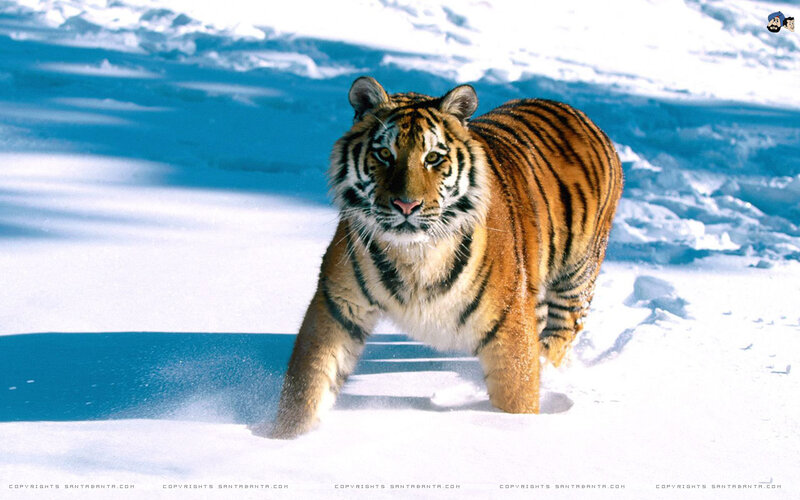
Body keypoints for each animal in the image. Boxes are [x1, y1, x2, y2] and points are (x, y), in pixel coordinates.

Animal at [270, 76, 623, 439]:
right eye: (384, 154)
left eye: (433, 157)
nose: (406, 205)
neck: (414, 254)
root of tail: (577, 112)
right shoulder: (338, 304)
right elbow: (308, 384)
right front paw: (281, 437)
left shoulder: (508, 323)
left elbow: (517, 394)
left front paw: (516, 427)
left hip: (575, 279)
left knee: (559, 336)